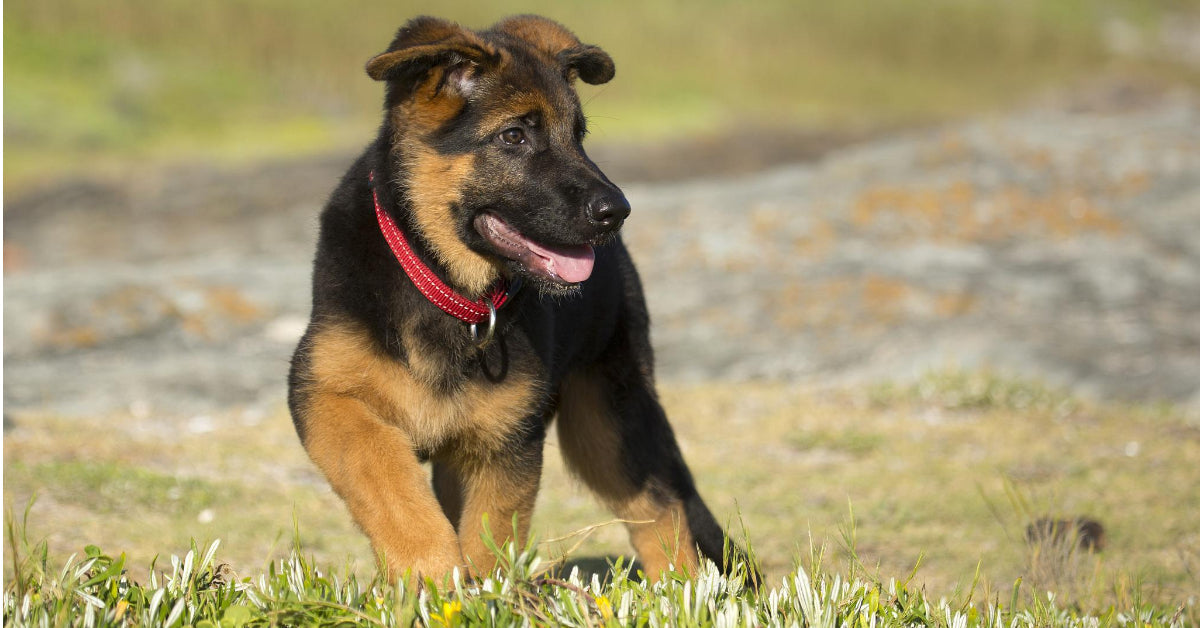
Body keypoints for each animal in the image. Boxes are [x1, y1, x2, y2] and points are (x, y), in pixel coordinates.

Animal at [288, 14, 748, 585]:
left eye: (579, 136)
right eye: (514, 135)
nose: (617, 211)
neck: (447, 289)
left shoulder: (508, 441)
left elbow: (490, 538)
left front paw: (478, 593)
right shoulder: (324, 396)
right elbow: (385, 472)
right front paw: (432, 575)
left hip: (609, 418)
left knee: (660, 507)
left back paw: (680, 592)